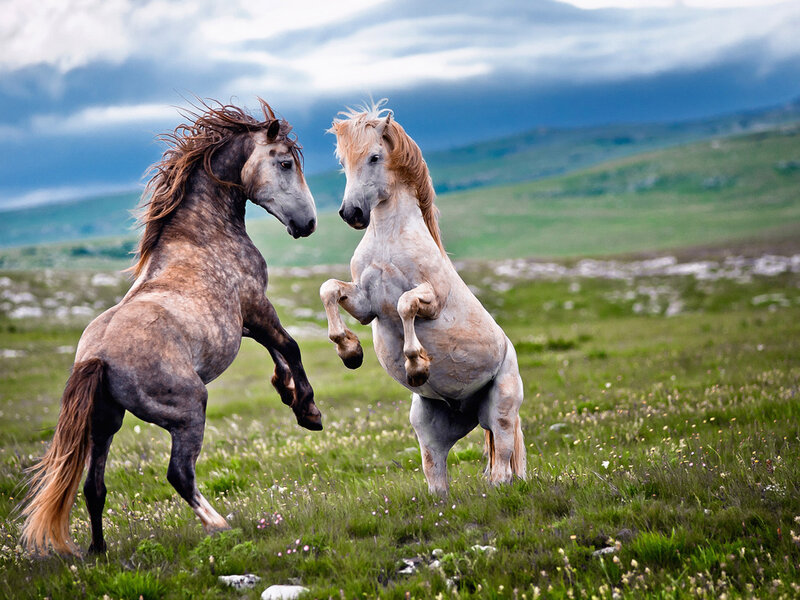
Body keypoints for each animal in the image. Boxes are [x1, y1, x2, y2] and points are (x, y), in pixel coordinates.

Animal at [21, 99, 322, 556]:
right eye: (285, 162)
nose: (308, 224)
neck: (201, 235)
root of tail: (97, 358)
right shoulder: (255, 306)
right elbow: (289, 347)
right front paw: (307, 409)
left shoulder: (244, 322)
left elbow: (278, 353)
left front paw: (285, 391)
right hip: (188, 410)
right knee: (179, 474)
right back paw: (221, 526)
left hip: (104, 425)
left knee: (94, 487)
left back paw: (98, 552)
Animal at [320, 100, 526, 495]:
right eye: (343, 162)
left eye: (373, 157)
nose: (351, 213)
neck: (388, 239)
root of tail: (465, 408)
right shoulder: (365, 306)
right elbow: (329, 290)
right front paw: (349, 351)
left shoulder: (431, 300)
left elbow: (405, 305)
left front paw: (417, 365)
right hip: (429, 427)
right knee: (437, 477)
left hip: (502, 412)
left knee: (503, 467)